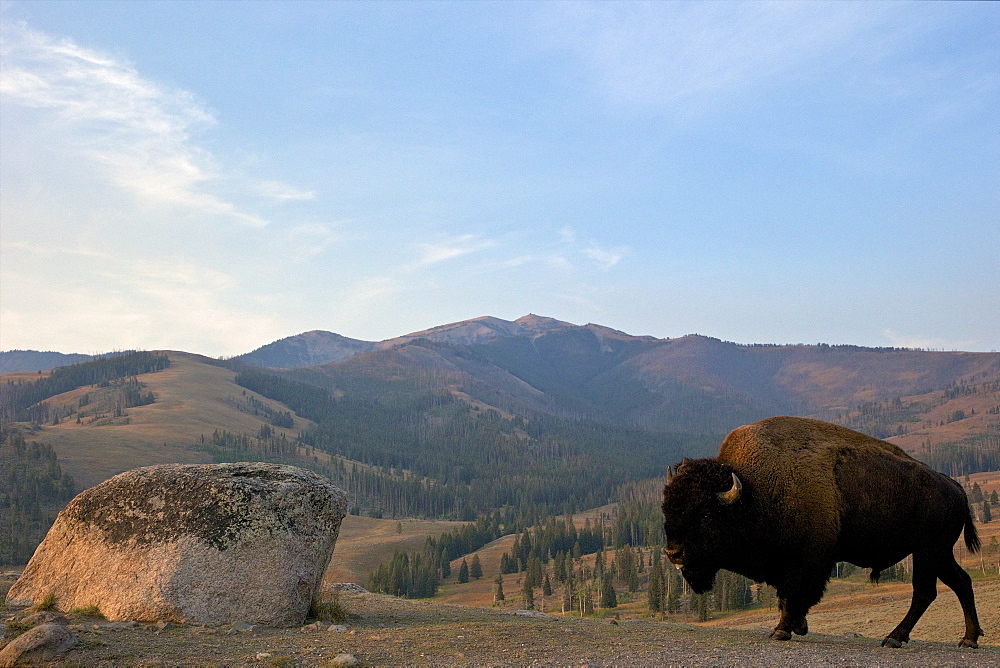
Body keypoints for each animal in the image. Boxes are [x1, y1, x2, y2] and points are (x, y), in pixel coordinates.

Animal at [660, 418, 980, 648]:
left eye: (705, 514)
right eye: (666, 508)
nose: (673, 553)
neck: (753, 493)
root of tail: (955, 487)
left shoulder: (809, 561)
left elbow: (794, 594)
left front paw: (782, 630)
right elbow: (787, 596)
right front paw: (797, 626)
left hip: (928, 552)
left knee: (924, 592)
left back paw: (894, 639)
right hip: (939, 553)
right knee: (961, 582)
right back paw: (968, 639)